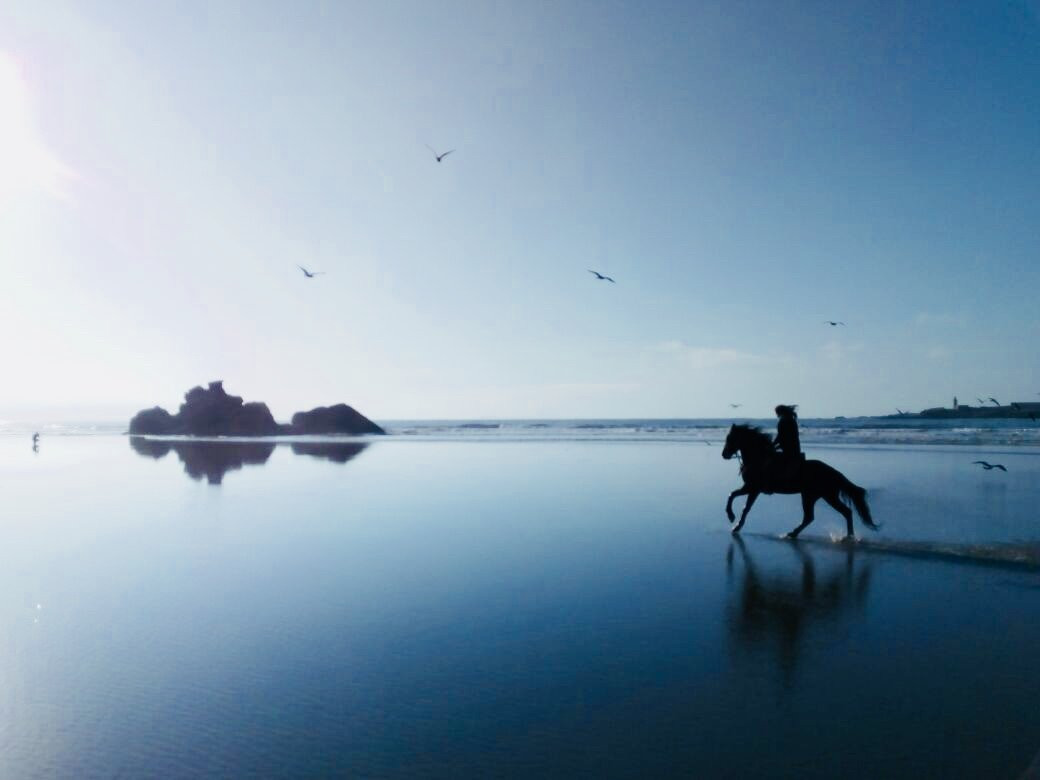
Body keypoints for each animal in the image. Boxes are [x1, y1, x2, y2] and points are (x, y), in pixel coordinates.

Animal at [721, 424, 877, 539]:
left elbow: (736, 500)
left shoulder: (752, 488)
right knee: (818, 516)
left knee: (837, 513)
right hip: (815, 496)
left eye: (730, 438)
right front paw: (735, 523)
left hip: (821, 496)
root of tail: (834, 472)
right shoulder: (752, 488)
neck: (758, 458)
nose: (724, 454)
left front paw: (732, 519)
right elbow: (739, 501)